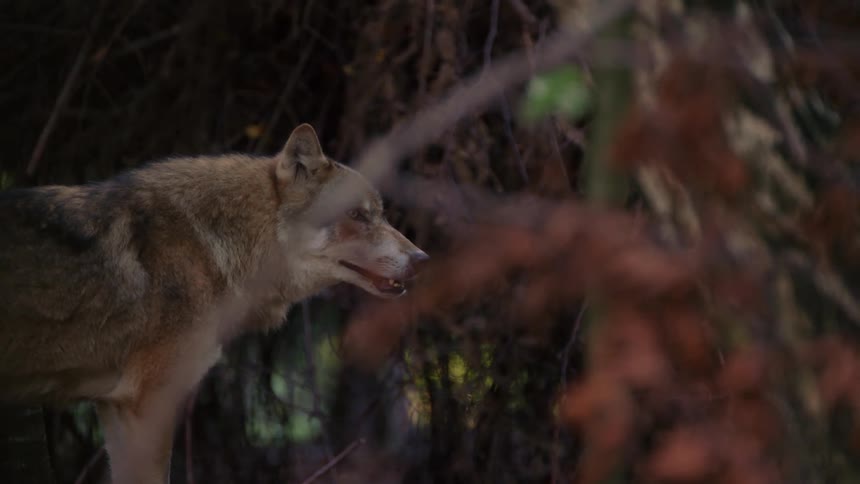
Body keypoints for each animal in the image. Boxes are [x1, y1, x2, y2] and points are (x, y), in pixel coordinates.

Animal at [0, 124, 427, 483]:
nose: (422, 258)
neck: (213, 244)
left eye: (380, 214)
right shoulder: (145, 405)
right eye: (356, 214)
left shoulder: (115, 406)